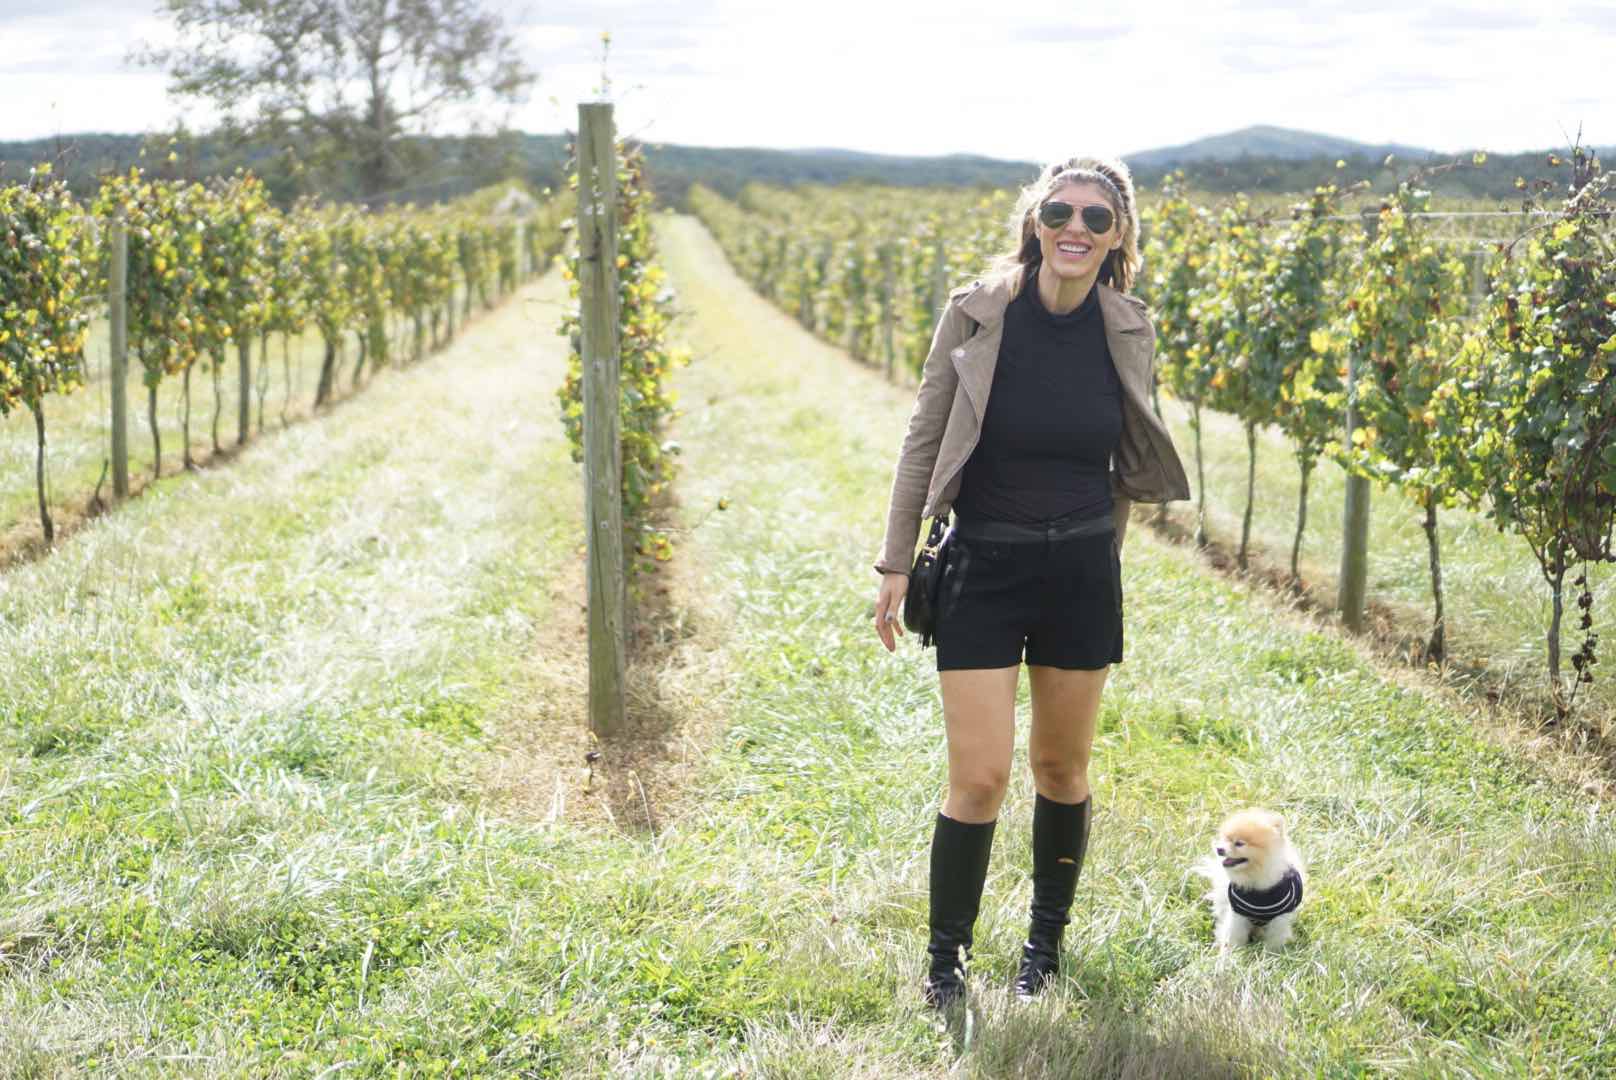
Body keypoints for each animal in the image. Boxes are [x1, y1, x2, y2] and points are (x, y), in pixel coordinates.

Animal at [1197, 808, 1306, 952]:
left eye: (1239, 843)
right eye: (1225, 839)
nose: (1219, 849)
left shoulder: (1280, 918)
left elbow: (1275, 938)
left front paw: (1273, 952)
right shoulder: (1238, 913)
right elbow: (1235, 935)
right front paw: (1232, 952)